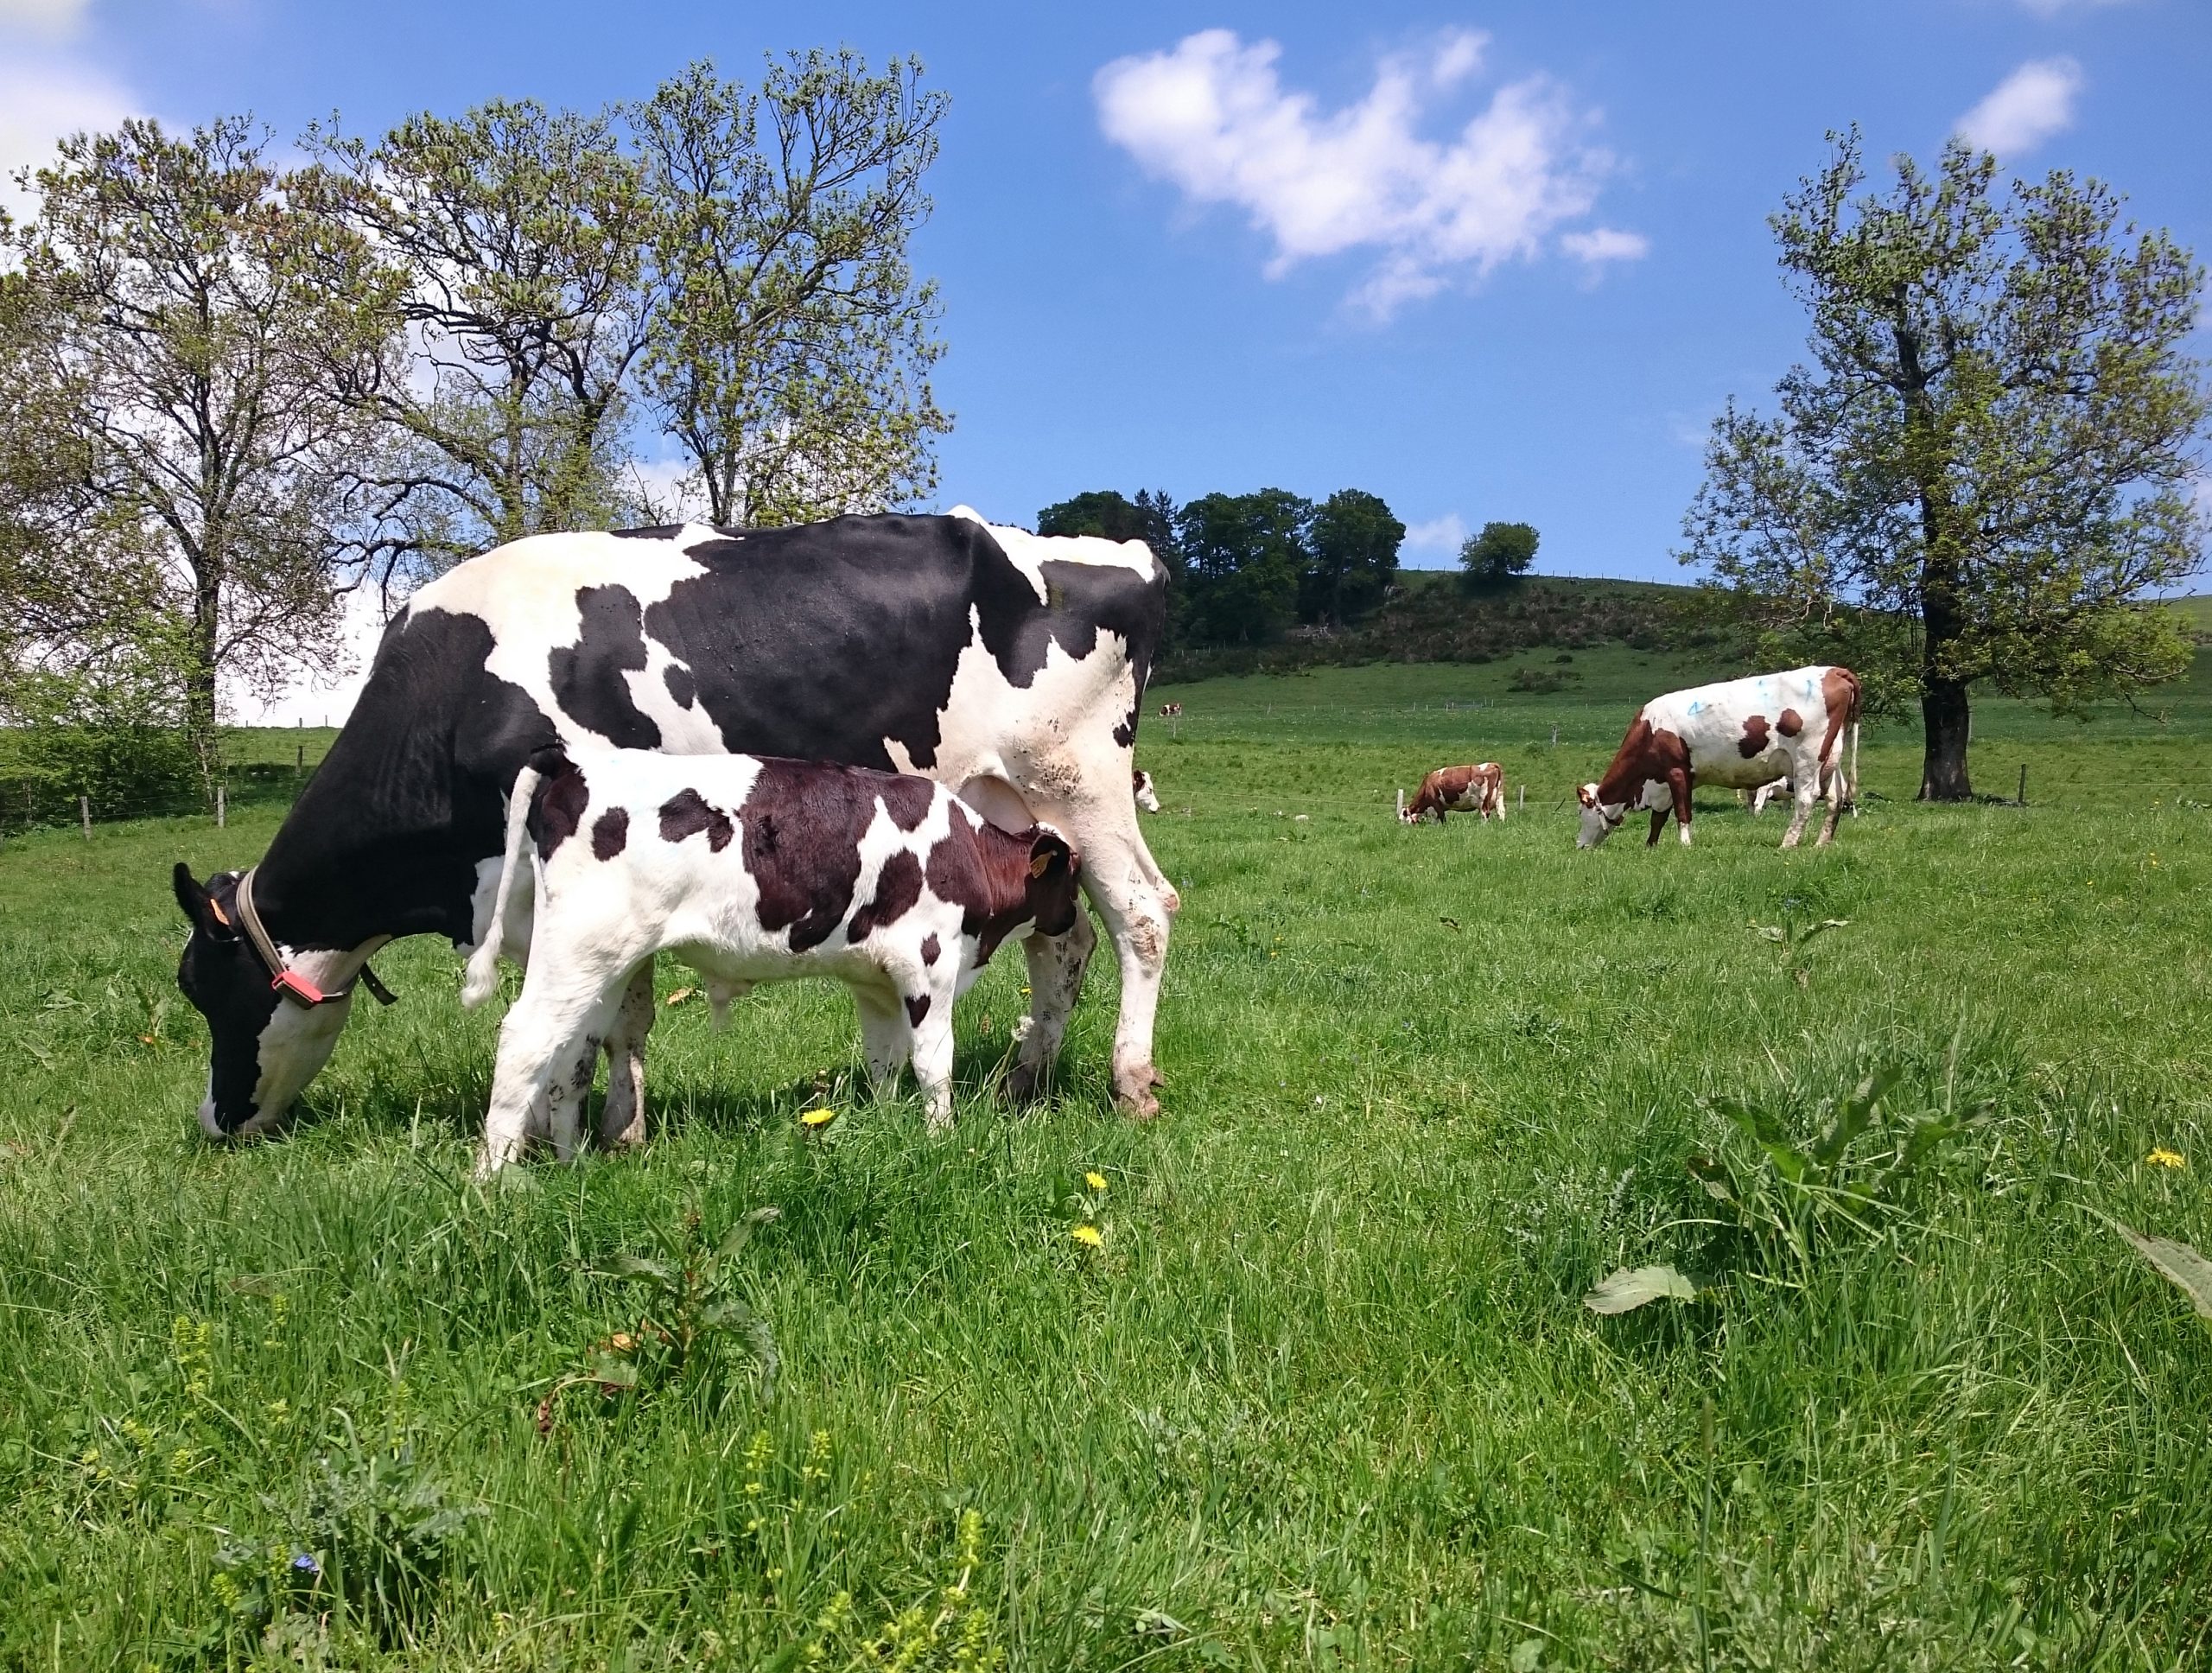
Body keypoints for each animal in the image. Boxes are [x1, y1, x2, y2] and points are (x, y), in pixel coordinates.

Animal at [459, 746, 1080, 1171]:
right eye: (1071, 877)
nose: (1076, 918)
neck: (967, 853)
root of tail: (572, 762)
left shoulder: (876, 983)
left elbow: (883, 1062)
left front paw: (888, 1129)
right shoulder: (929, 968)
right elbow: (934, 1065)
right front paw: (940, 1139)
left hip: (602, 963)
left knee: (573, 1051)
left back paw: (573, 1166)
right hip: (581, 946)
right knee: (525, 1038)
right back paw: (498, 1181)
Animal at [1576, 666, 1859, 850]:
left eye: (1580, 812)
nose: (1579, 845)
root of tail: (1834, 670)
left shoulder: (1677, 772)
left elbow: (1682, 812)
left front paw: (1685, 846)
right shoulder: (1663, 783)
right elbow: (1659, 817)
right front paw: (1651, 846)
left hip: (1808, 758)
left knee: (1806, 799)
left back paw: (1787, 844)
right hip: (1831, 758)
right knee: (1835, 798)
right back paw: (1820, 844)